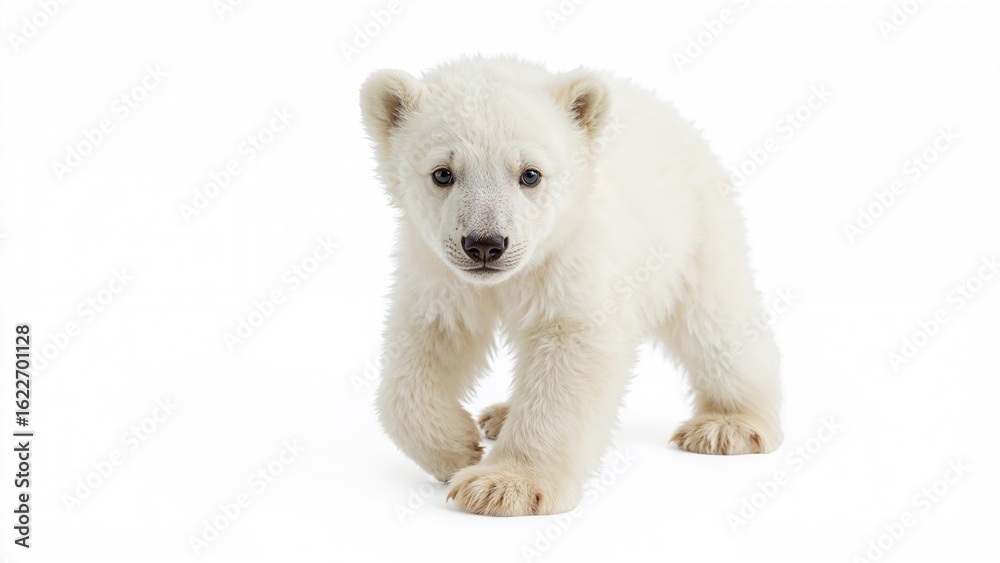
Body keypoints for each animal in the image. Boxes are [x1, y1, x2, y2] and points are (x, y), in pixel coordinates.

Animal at [360, 56, 783, 517]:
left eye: (530, 174)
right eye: (442, 173)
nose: (485, 245)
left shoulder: (576, 255)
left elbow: (571, 350)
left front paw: (502, 486)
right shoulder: (436, 268)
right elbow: (428, 341)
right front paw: (457, 448)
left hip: (695, 228)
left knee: (715, 322)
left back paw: (728, 426)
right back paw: (499, 416)